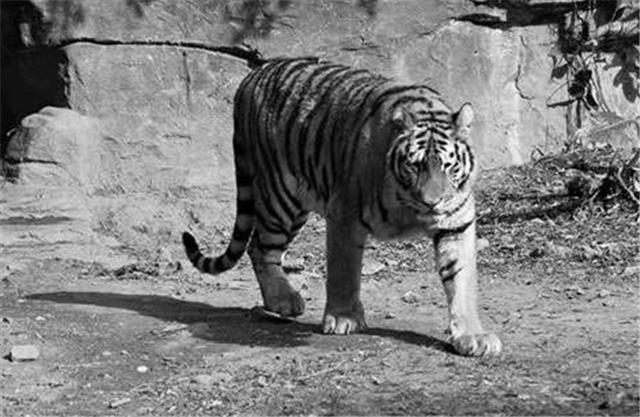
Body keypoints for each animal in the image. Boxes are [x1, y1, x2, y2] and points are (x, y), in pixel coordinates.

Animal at [182, 57, 502, 356]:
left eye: (448, 167)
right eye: (415, 165)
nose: (431, 202)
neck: (409, 206)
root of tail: (252, 76)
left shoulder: (456, 225)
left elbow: (461, 280)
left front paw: (472, 336)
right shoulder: (345, 216)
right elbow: (343, 271)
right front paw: (343, 318)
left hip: (295, 205)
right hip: (280, 196)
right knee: (259, 247)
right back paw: (283, 300)